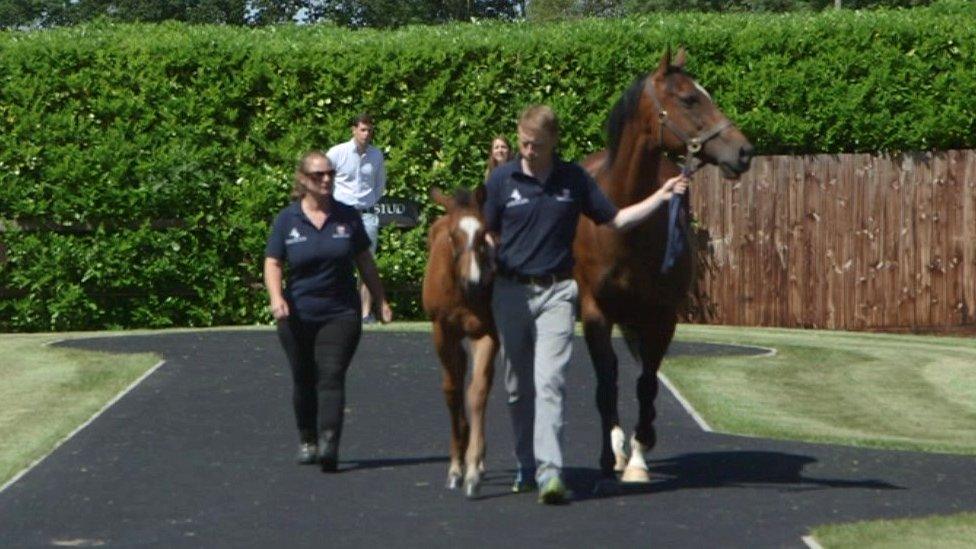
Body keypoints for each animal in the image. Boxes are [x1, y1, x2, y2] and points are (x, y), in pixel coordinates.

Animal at [422, 185, 500, 496]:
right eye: (454, 234)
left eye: (484, 233)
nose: (476, 281)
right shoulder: (443, 332)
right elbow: (453, 391)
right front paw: (456, 467)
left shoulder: (486, 332)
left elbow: (476, 391)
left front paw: (473, 468)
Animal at [576, 50, 752, 480]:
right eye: (689, 99)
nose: (743, 151)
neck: (623, 220)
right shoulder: (595, 312)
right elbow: (607, 381)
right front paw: (611, 455)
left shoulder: (662, 315)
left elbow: (647, 383)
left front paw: (639, 457)